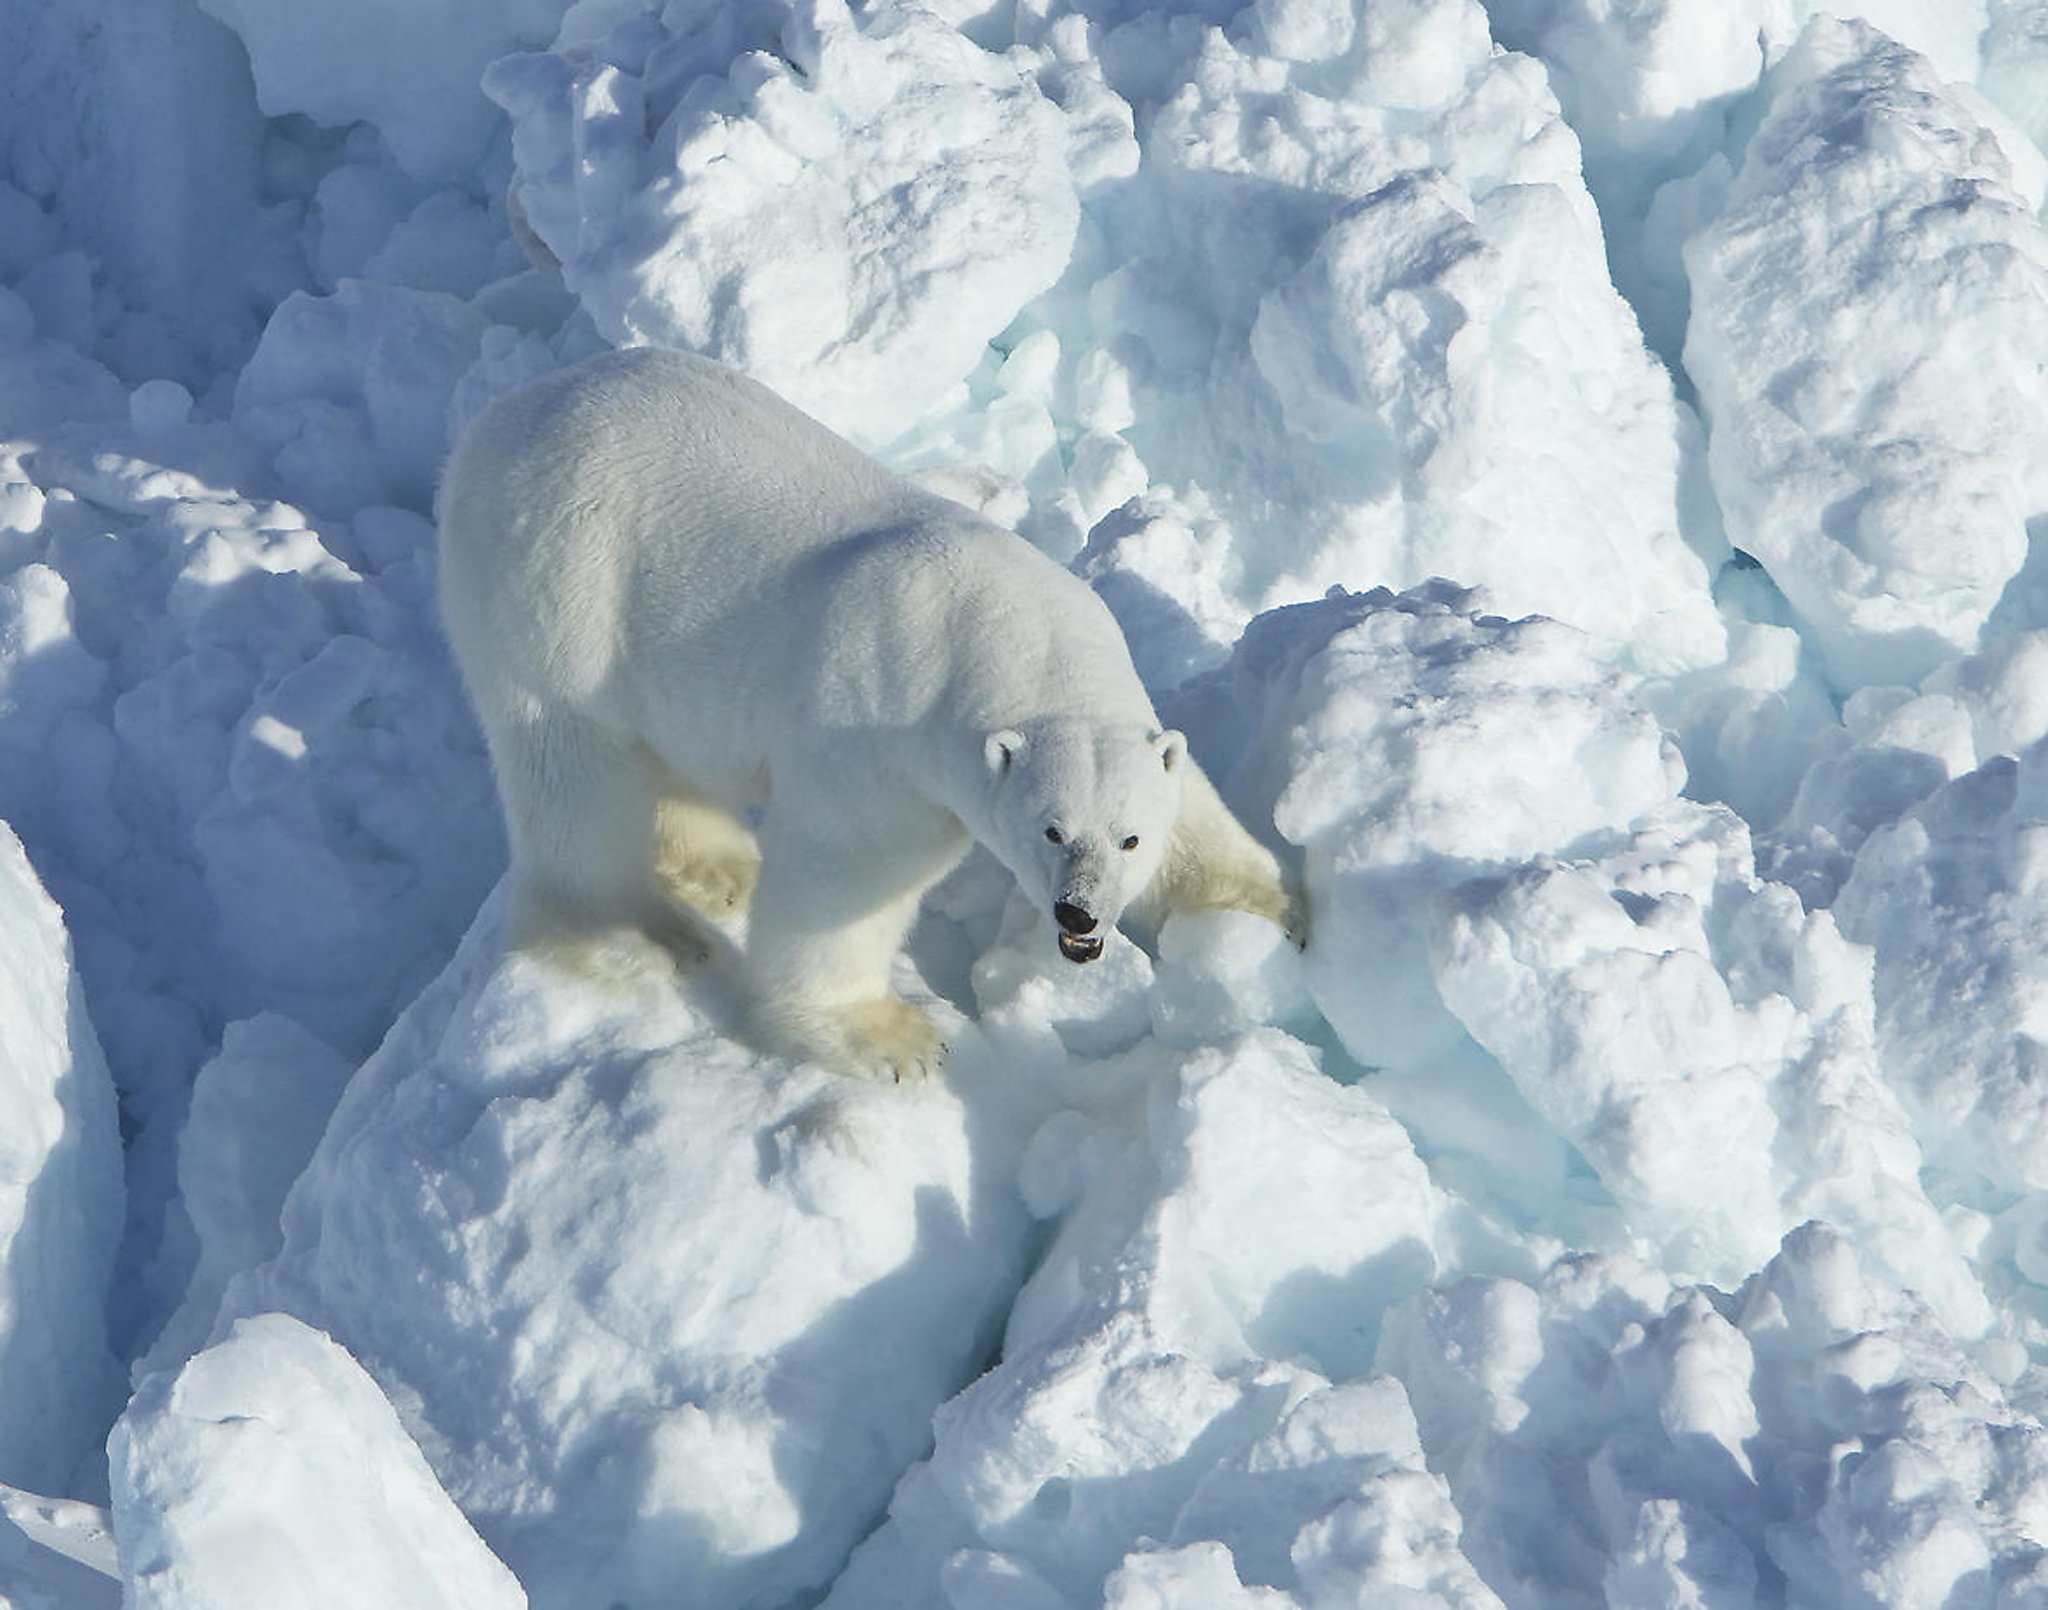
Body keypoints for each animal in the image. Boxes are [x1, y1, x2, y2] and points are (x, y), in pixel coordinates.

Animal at [436, 352, 1294, 1081]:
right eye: (1049, 830)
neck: (1008, 630)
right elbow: (847, 876)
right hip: (561, 585)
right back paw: (642, 932)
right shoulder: (883, 731)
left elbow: (1192, 807)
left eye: (1129, 837)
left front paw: (1277, 910)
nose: (1077, 913)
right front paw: (890, 1038)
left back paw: (720, 868)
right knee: (574, 766)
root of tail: (496, 421)